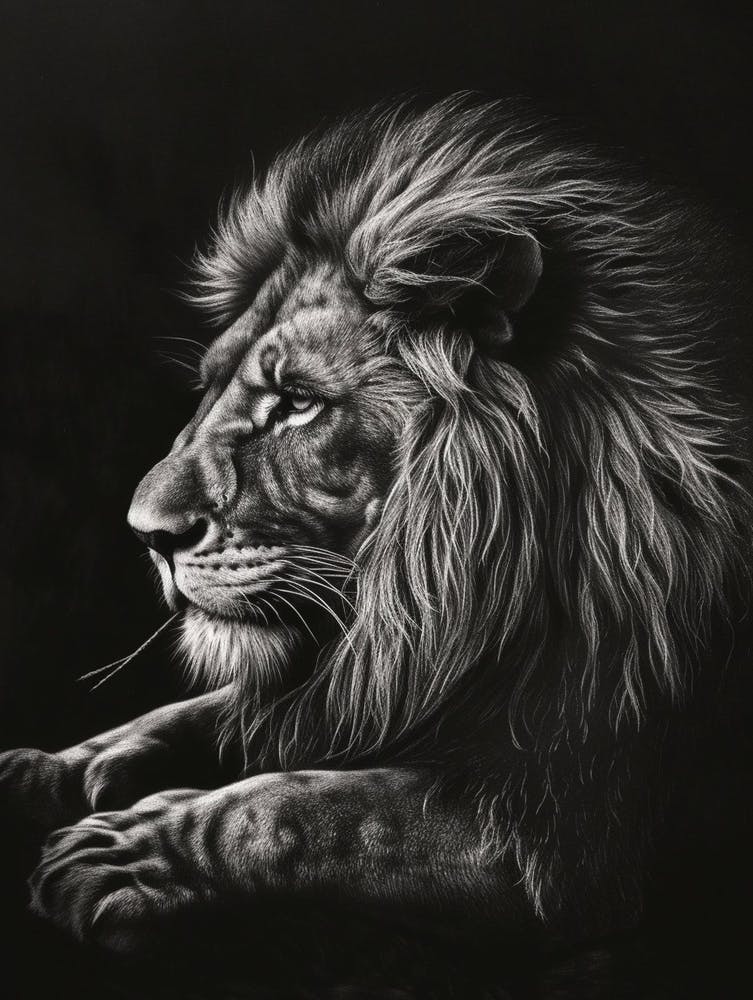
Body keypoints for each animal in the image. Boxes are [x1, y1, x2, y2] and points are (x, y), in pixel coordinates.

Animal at [1, 96, 751, 970]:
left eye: (296, 401)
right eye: (210, 385)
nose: (147, 532)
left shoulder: (561, 835)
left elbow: (301, 810)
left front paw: (132, 851)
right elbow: (210, 710)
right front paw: (56, 766)